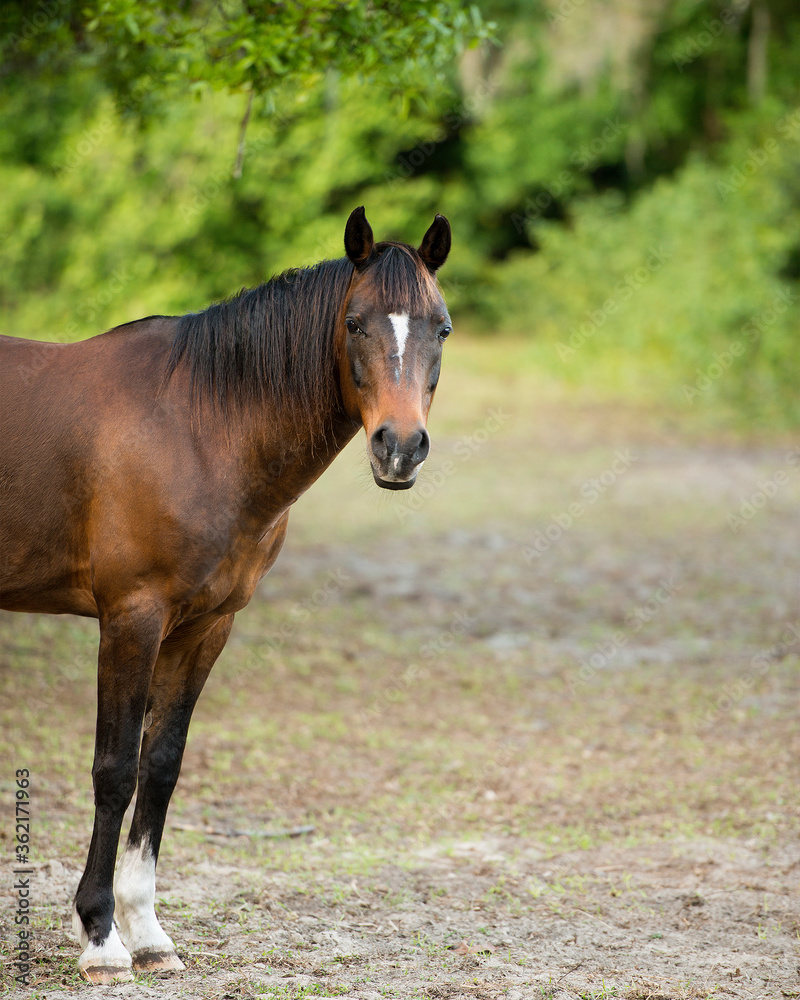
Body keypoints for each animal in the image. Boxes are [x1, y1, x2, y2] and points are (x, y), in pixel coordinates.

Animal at [0, 207, 452, 983]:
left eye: (442, 328)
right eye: (355, 323)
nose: (400, 447)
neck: (198, 425)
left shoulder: (205, 626)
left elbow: (162, 766)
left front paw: (148, 932)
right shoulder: (132, 618)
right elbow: (114, 770)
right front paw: (100, 936)